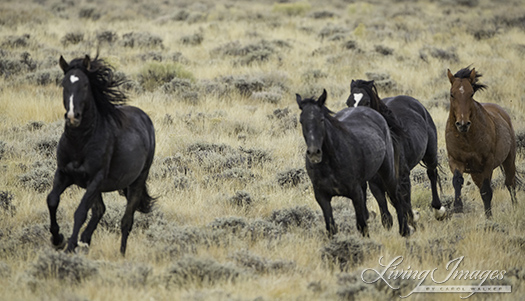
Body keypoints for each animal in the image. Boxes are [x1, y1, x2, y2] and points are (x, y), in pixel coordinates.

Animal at [46, 55, 156, 254]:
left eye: (85, 85)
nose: (73, 116)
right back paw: (85, 239)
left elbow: (80, 212)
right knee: (100, 210)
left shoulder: (95, 179)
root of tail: (145, 117)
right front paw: (58, 239)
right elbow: (52, 200)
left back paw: (120, 253)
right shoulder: (64, 173)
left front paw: (70, 246)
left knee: (126, 220)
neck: (80, 143)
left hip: (137, 181)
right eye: (64, 84)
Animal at [294, 89, 414, 237]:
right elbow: (331, 228)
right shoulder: (322, 196)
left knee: (396, 197)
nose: (314, 153)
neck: (331, 164)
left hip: (387, 172)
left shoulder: (355, 193)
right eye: (301, 121)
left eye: (321, 119)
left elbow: (362, 226)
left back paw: (404, 231)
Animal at [346, 79, 444, 220]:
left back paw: (438, 210)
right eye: (348, 103)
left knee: (432, 174)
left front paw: (413, 218)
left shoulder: (403, 176)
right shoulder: (375, 183)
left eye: (366, 102)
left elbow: (406, 202)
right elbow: (386, 214)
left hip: (430, 154)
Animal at [446, 66, 516, 216]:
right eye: (452, 94)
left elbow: (486, 191)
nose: (462, 124)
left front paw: (489, 217)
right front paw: (458, 208)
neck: (466, 139)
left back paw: (515, 207)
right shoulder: (455, 160)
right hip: (475, 173)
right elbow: (457, 181)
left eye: (471, 94)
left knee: (510, 183)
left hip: (508, 160)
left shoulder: (487, 164)